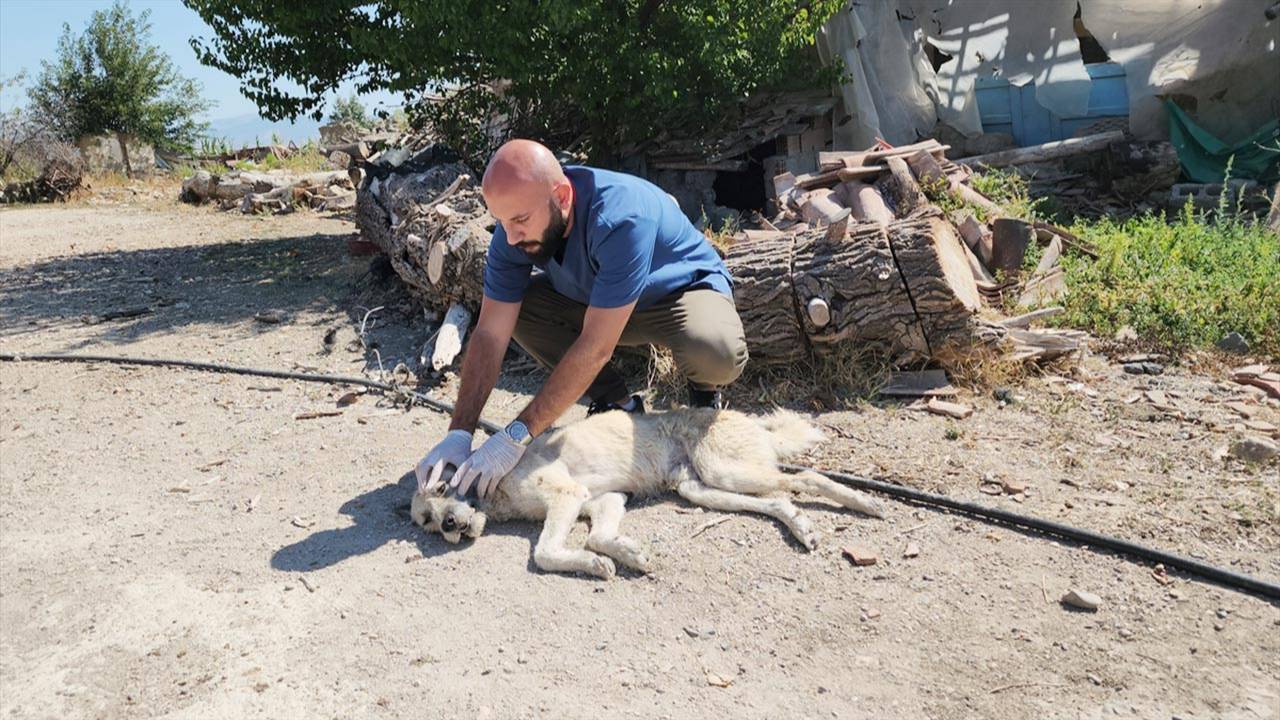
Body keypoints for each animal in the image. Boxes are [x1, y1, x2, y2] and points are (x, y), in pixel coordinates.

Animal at [409, 407, 880, 573]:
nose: (448, 525)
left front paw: (592, 563)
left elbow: (544, 551)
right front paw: (623, 554)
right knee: (780, 500)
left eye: (445, 485)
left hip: (725, 470)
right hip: (702, 488)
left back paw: (866, 502)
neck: (497, 495)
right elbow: (599, 536)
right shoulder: (605, 500)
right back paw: (801, 526)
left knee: (807, 478)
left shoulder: (568, 496)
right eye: (426, 522)